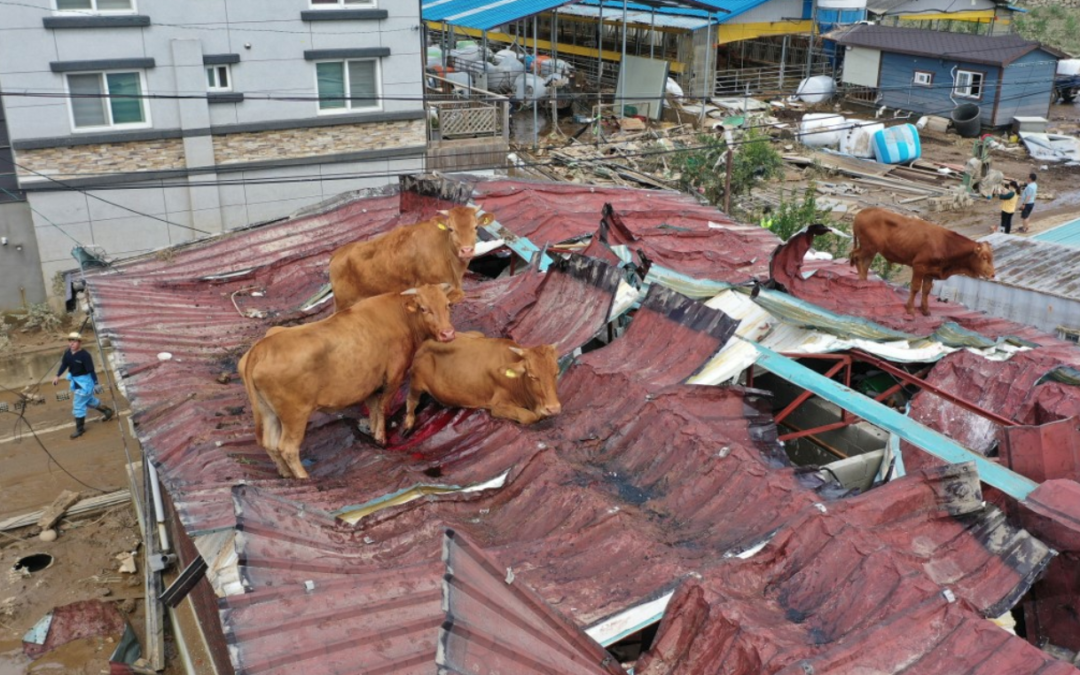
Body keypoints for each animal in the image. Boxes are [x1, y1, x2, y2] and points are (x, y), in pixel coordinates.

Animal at [238, 285, 457, 479]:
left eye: (447, 305)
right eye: (424, 308)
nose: (447, 333)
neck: (400, 316)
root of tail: (262, 346)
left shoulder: (370, 384)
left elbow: (373, 407)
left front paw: (371, 431)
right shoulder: (394, 376)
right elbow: (382, 407)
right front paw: (381, 438)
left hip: (269, 412)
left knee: (270, 444)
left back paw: (285, 474)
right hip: (295, 416)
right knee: (287, 448)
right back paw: (303, 477)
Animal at [401, 332, 561, 432]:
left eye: (556, 373)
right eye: (532, 376)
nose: (553, 408)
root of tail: (425, 343)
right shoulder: (497, 406)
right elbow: (529, 416)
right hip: (416, 380)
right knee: (411, 399)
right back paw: (408, 423)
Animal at [851, 206, 993, 317]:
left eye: (992, 257)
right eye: (984, 258)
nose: (992, 274)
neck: (945, 244)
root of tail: (862, 212)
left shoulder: (930, 272)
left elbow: (926, 290)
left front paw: (925, 310)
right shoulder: (919, 266)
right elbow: (915, 288)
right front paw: (910, 309)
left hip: (871, 249)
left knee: (864, 262)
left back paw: (864, 281)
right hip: (868, 247)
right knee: (856, 256)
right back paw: (861, 282)